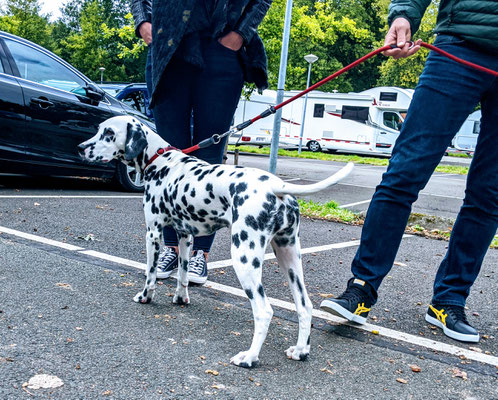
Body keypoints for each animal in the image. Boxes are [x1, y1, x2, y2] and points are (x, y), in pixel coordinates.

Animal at [78, 115, 352, 368]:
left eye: (109, 133)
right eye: (100, 130)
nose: (81, 147)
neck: (160, 161)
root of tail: (277, 186)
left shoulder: (153, 233)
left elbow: (150, 274)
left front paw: (145, 297)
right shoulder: (185, 236)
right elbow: (183, 274)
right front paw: (181, 299)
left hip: (244, 259)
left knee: (264, 311)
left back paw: (249, 357)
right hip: (289, 258)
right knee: (305, 306)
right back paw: (301, 350)